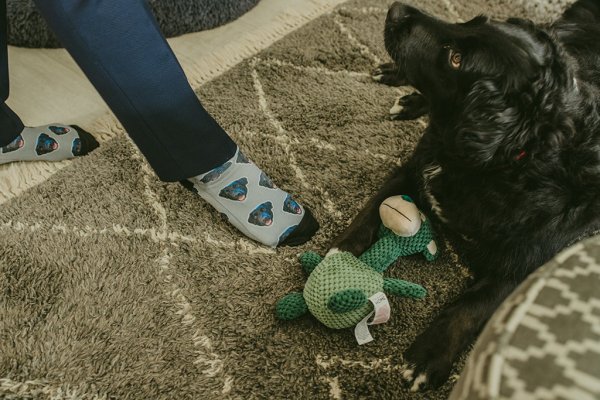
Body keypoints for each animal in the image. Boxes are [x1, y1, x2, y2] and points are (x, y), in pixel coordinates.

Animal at [330, 0, 600, 392]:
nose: (396, 9)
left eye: (456, 59)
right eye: (473, 20)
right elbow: (369, 211)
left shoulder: (530, 262)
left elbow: (473, 303)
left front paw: (430, 354)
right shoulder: (413, 170)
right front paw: (340, 255)